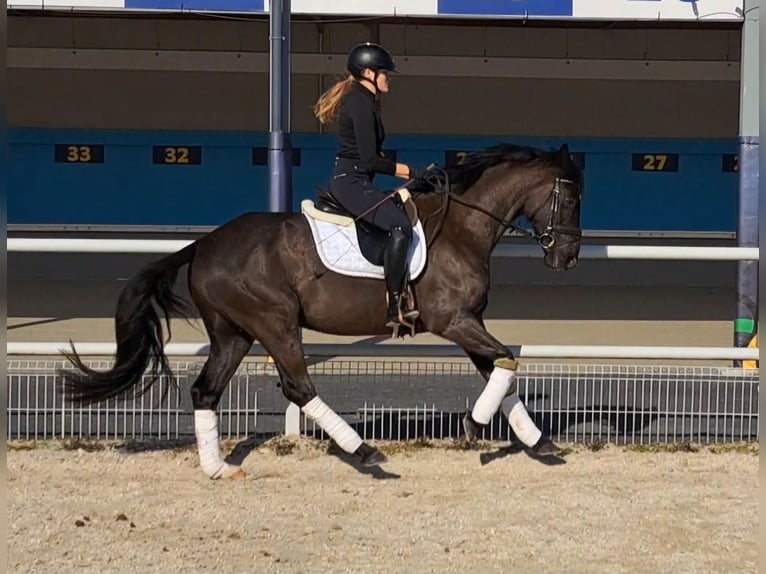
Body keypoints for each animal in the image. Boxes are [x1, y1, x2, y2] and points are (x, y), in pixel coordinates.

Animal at [60, 144, 584, 482]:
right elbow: (505, 364)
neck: (459, 226)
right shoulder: (453, 321)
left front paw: (537, 441)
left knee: (206, 390)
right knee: (298, 385)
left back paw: (218, 468)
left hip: (234, 332)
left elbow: (502, 370)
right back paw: (364, 451)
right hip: (273, 321)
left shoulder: (469, 320)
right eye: (573, 198)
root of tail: (205, 244)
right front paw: (474, 428)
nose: (568, 258)